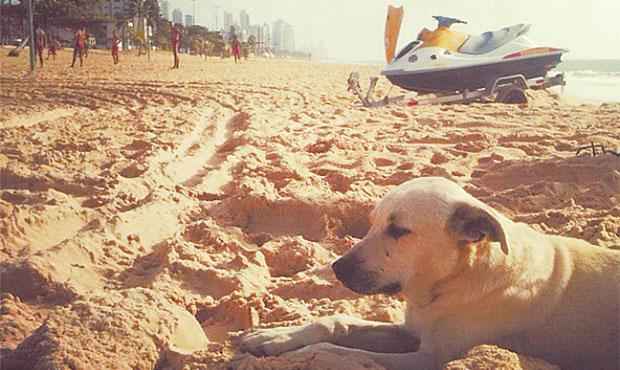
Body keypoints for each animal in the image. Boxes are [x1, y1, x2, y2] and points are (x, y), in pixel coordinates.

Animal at [239, 178, 620, 368]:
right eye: (372, 222)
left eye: (399, 230)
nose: (337, 268)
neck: (454, 280)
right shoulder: (411, 329)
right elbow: (336, 321)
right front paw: (275, 336)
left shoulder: (431, 358)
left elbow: (350, 355)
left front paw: (303, 355)